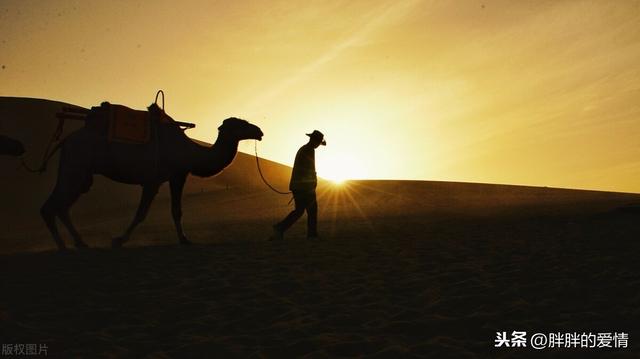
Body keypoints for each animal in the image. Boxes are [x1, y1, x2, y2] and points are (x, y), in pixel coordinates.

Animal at [40, 102, 262, 252]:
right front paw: (119, 240)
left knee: (62, 207)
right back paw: (63, 246)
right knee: (51, 206)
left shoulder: (170, 177)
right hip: (75, 167)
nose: (259, 131)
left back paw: (80, 243)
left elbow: (169, 211)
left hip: (82, 174)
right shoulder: (162, 178)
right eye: (241, 124)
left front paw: (183, 239)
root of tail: (66, 140)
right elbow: (150, 212)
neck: (190, 153)